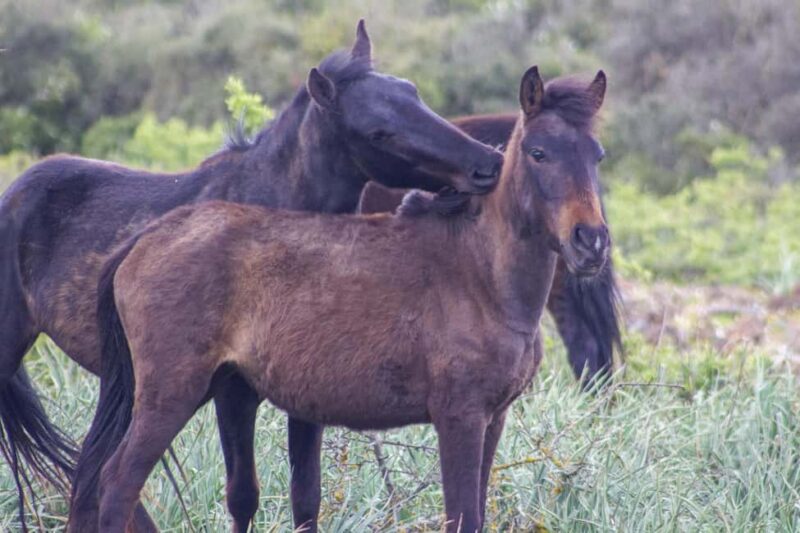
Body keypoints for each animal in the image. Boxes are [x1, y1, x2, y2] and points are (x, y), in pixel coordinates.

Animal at [0, 20, 503, 532]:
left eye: (413, 92)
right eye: (378, 133)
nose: (487, 164)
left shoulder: (308, 392)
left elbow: (306, 493)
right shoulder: (235, 393)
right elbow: (243, 494)